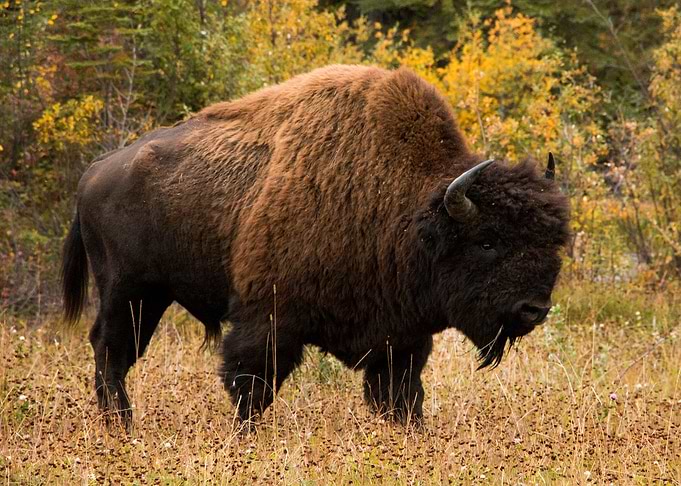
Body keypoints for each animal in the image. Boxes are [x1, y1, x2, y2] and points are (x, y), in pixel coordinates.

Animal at [62, 65, 570, 426]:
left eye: (553, 241)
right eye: (487, 240)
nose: (534, 309)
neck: (409, 209)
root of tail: (94, 172)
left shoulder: (403, 337)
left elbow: (402, 397)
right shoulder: (267, 319)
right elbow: (252, 385)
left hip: (149, 296)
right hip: (129, 291)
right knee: (110, 349)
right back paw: (121, 424)